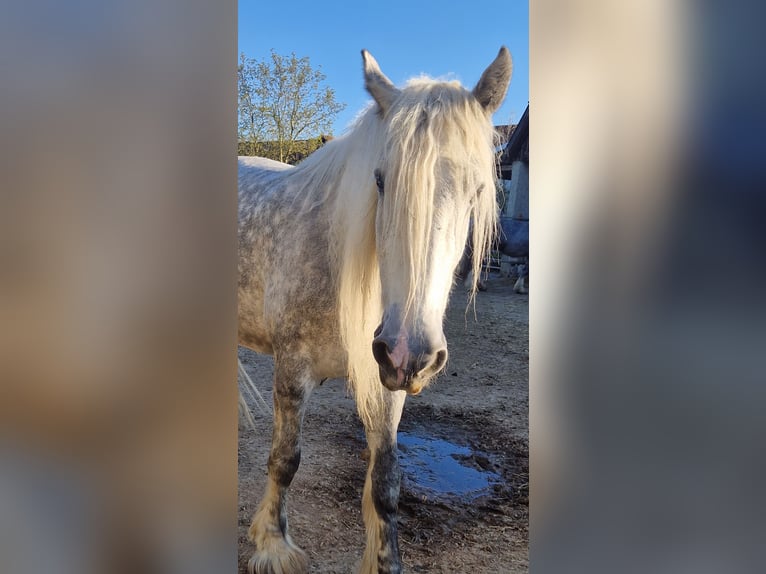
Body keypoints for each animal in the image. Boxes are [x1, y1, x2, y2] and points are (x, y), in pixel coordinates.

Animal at [238, 47, 516, 572]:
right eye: (381, 181)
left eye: (476, 190)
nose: (409, 349)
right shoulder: (291, 369)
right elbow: (285, 459)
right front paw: (272, 544)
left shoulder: (388, 383)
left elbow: (386, 481)